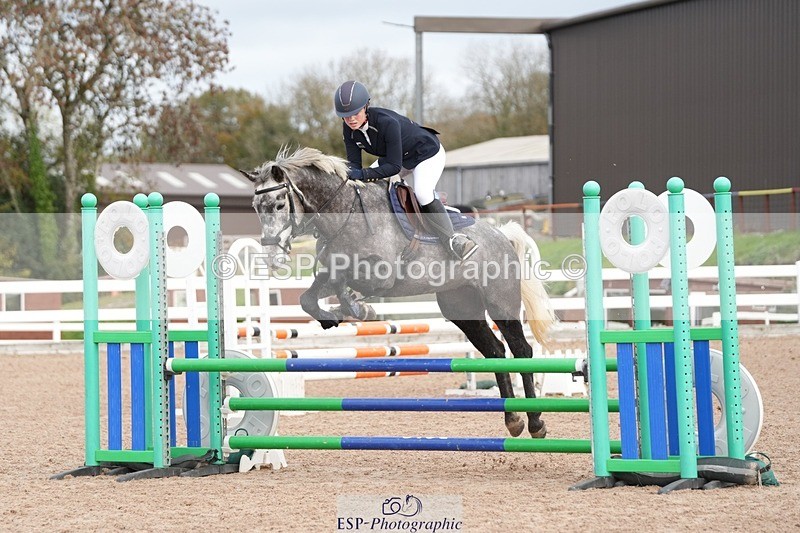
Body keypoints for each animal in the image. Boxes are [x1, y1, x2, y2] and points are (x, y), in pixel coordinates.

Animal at [240, 147, 556, 438]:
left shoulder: (380, 275)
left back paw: (536, 423)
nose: (272, 258)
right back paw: (513, 420)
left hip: (501, 303)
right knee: (495, 351)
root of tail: (502, 235)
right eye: (256, 206)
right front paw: (334, 315)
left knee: (521, 350)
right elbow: (309, 298)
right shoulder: (332, 271)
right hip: (462, 308)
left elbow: (348, 287)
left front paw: (358, 308)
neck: (344, 214)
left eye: (279, 203)